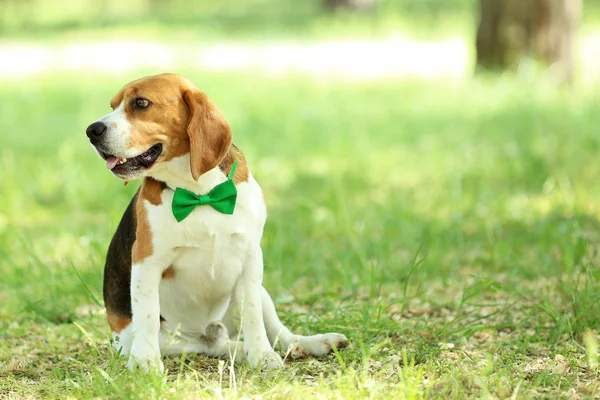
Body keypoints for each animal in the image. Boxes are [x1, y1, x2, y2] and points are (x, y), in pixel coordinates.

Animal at [84, 72, 346, 372]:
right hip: (164, 340)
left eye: (141, 103)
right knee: (210, 345)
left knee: (281, 334)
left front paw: (262, 354)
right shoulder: (146, 260)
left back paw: (312, 343)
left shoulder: (251, 257)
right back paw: (236, 349)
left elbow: (253, 314)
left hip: (262, 290)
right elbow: (147, 316)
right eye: (113, 105)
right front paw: (145, 362)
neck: (200, 193)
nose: (92, 131)